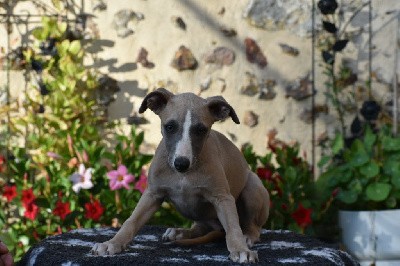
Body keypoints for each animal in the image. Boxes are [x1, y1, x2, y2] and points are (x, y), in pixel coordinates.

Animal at [90, 88, 270, 262]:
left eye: (201, 130)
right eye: (170, 126)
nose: (181, 164)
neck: (184, 174)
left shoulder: (223, 198)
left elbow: (233, 227)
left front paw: (240, 250)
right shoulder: (152, 194)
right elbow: (131, 221)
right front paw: (112, 243)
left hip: (253, 187)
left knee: (253, 227)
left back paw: (247, 237)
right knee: (200, 227)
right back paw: (180, 232)